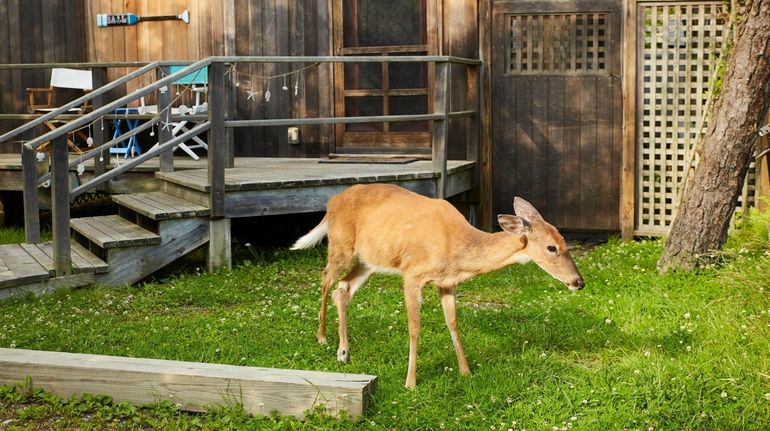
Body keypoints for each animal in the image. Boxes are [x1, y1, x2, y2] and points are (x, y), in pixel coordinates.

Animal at [290, 184, 584, 390]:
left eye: (565, 242)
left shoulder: (448, 283)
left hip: (368, 260)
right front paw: (410, 382)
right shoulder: (412, 274)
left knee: (342, 289)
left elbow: (453, 322)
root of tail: (331, 204)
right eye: (552, 247)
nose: (578, 282)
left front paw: (466, 371)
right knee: (326, 278)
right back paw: (323, 338)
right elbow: (414, 328)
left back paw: (343, 351)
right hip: (341, 246)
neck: (458, 248)